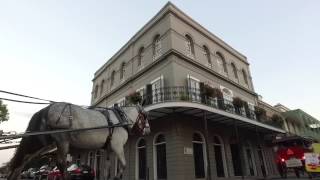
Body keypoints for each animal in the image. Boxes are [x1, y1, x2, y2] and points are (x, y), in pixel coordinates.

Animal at [7, 102, 150, 179]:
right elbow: (124, 165)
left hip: (42, 142)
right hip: (62, 140)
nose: (148, 130)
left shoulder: (108, 150)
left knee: (24, 158)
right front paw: (116, 177)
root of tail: (48, 108)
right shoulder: (118, 146)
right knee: (61, 163)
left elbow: (106, 168)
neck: (120, 119)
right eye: (145, 116)